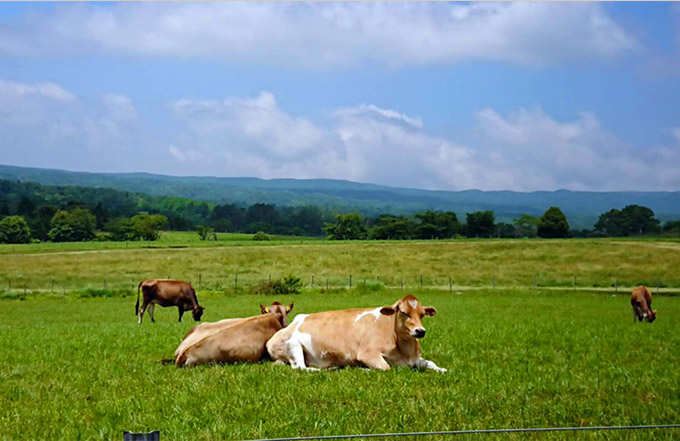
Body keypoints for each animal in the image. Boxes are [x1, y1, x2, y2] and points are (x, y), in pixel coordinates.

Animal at [266, 292, 446, 372]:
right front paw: (362, 369)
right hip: (293, 345)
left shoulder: (416, 359)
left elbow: (430, 363)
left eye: (422, 314)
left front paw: (443, 370)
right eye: (403, 312)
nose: (420, 331)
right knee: (300, 367)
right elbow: (386, 367)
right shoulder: (368, 354)